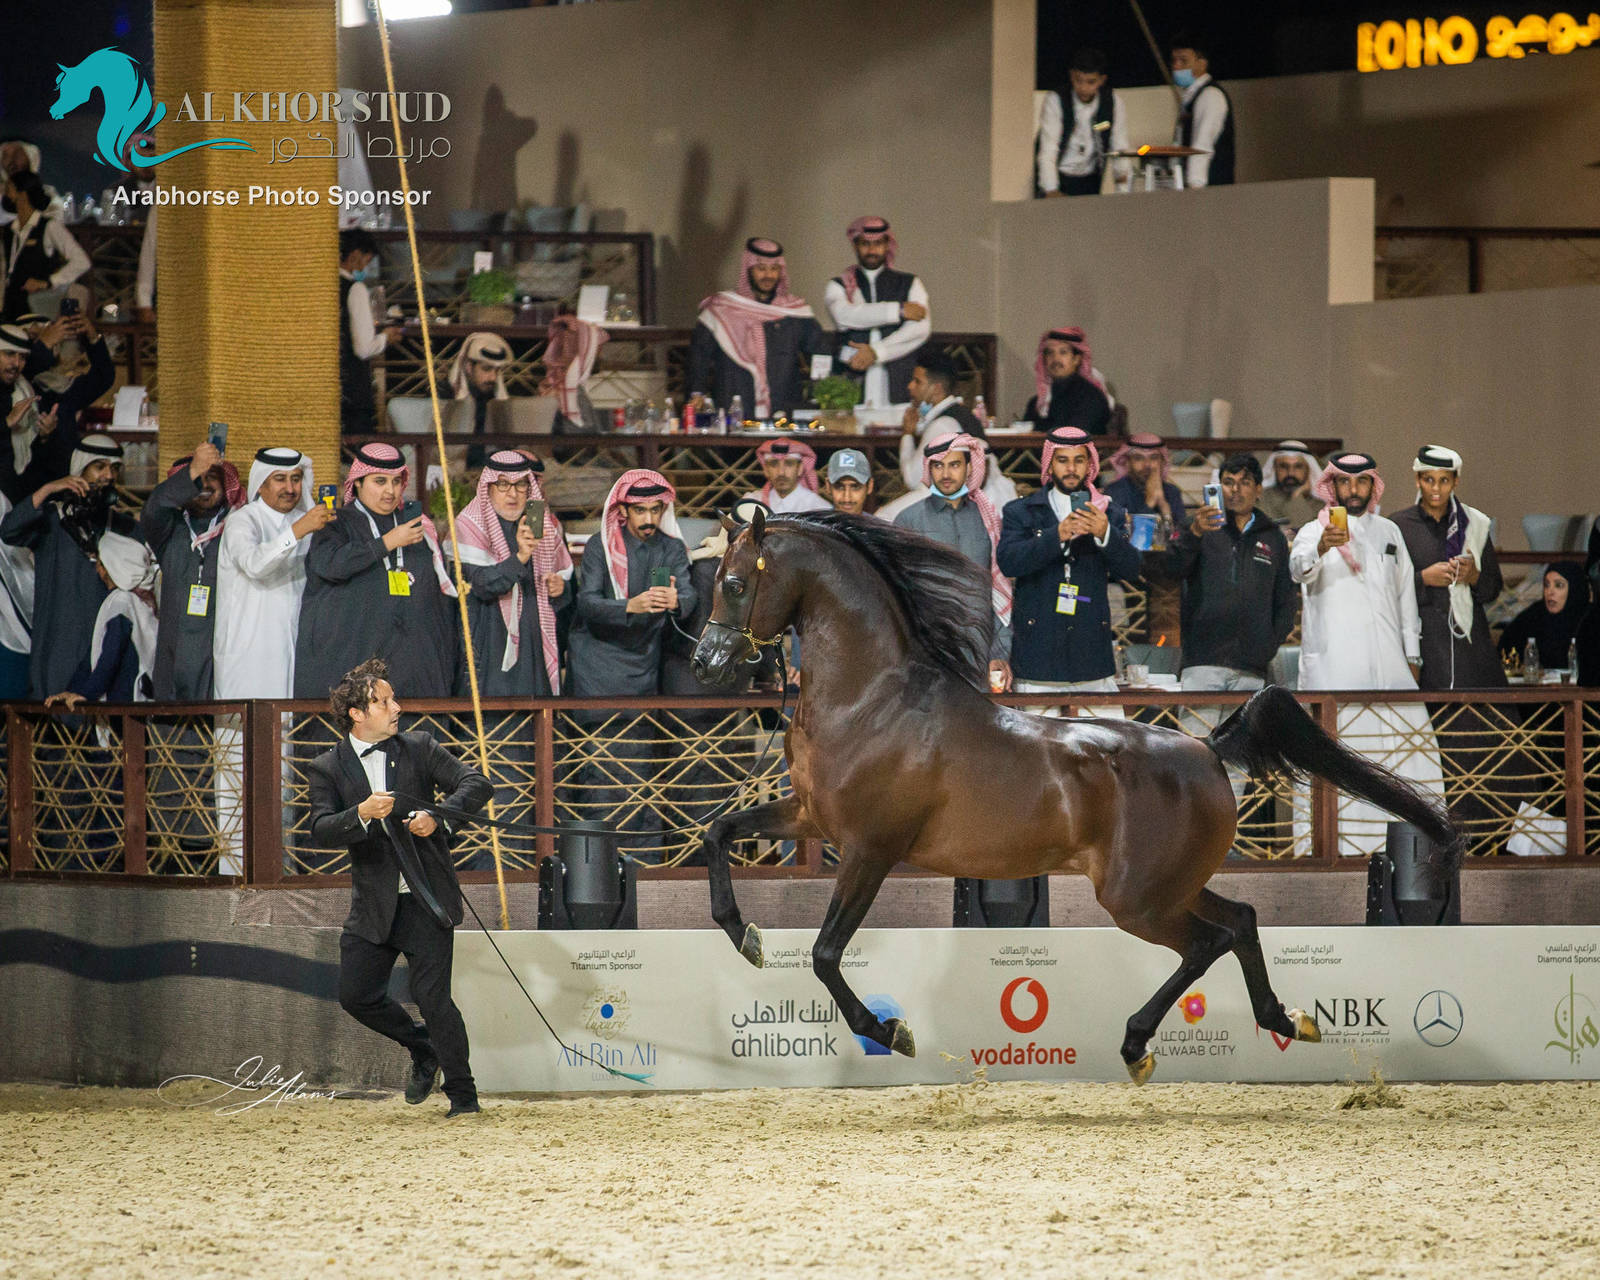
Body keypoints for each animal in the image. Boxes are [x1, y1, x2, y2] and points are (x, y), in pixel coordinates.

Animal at [689, 510, 1461, 1083]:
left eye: (735, 583)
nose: (705, 663)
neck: (871, 698)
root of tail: (1208, 752)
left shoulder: (869, 849)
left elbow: (825, 953)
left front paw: (893, 1031)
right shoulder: (813, 819)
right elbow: (719, 834)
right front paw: (746, 938)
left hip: (1135, 897)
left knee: (1208, 941)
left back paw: (1138, 1045)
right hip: (1163, 885)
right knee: (1238, 922)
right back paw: (1282, 1019)